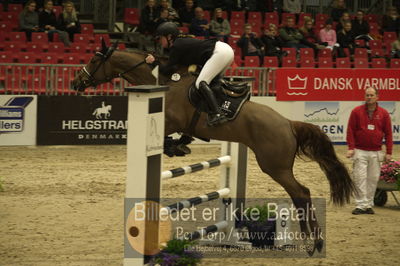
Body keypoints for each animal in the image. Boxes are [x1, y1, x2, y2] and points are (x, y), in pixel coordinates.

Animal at [72, 41, 356, 256]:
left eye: (94, 59)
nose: (76, 83)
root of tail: (288, 123)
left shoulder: (169, 122)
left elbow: (164, 139)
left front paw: (175, 147)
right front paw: (181, 146)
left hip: (274, 166)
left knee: (301, 193)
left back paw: (311, 241)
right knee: (301, 193)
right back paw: (313, 240)